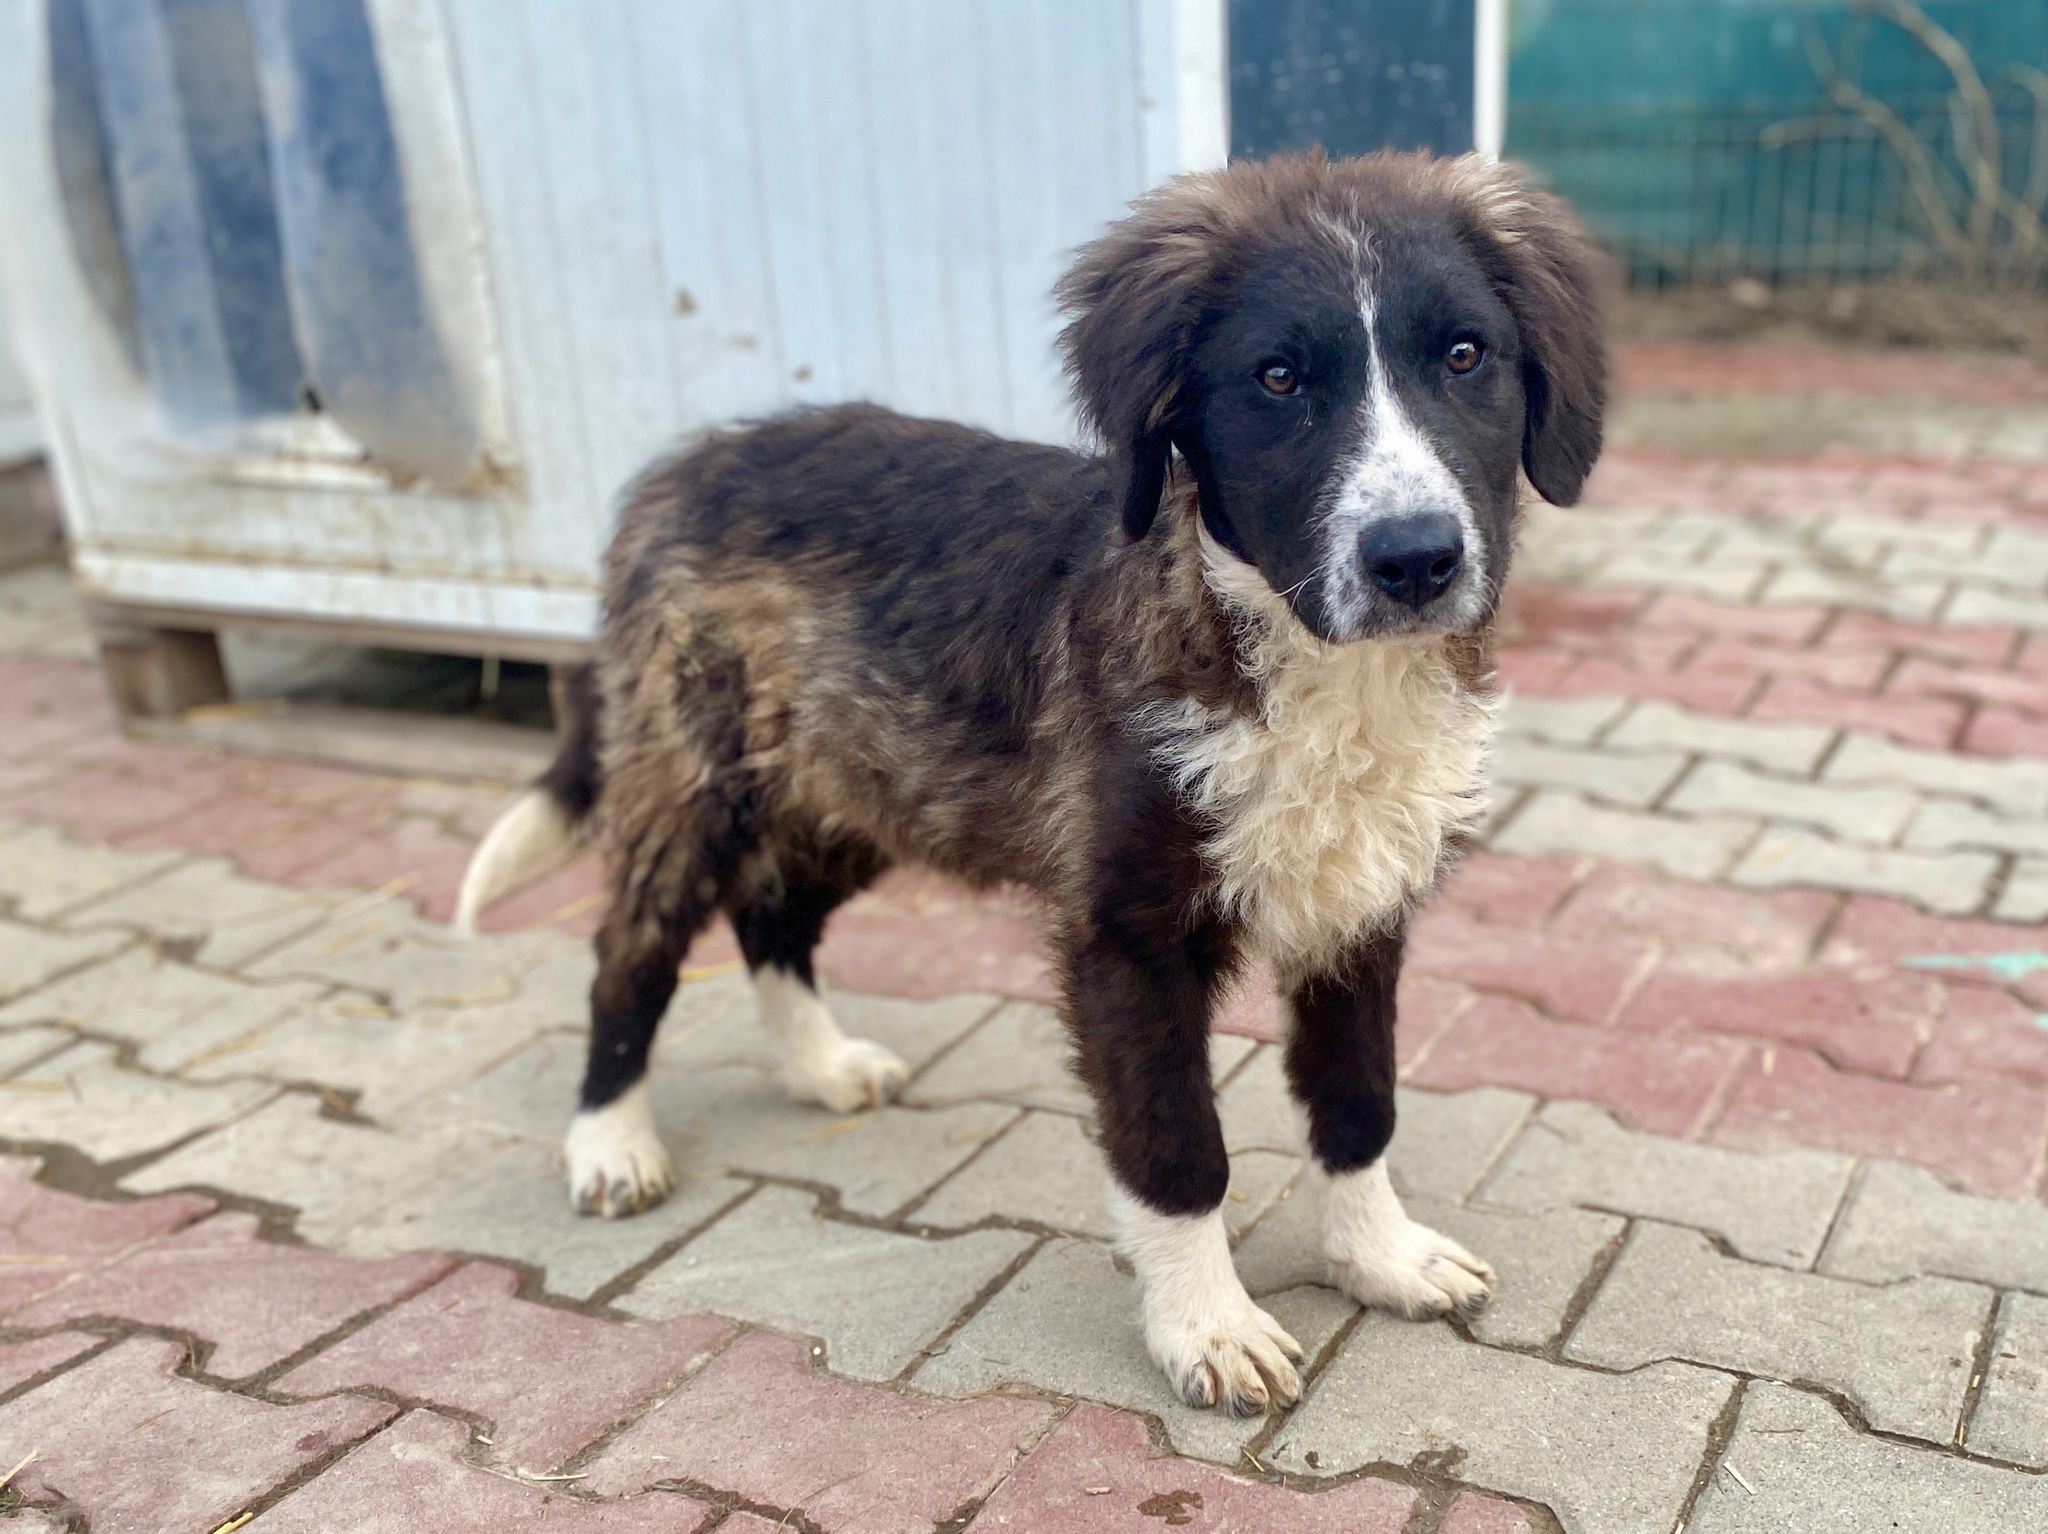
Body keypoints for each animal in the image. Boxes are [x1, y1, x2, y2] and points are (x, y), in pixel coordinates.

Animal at [457, 149, 1606, 1417]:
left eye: (1463, 355)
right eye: (1277, 378)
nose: (1413, 559)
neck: (1300, 659)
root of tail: (688, 463)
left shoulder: (1358, 910)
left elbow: (1358, 1098)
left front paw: (1377, 1255)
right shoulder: (1127, 936)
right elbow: (1175, 1144)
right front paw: (1204, 1323)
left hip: (864, 777)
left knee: (771, 914)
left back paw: (817, 1064)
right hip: (696, 779)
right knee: (633, 949)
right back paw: (608, 1139)